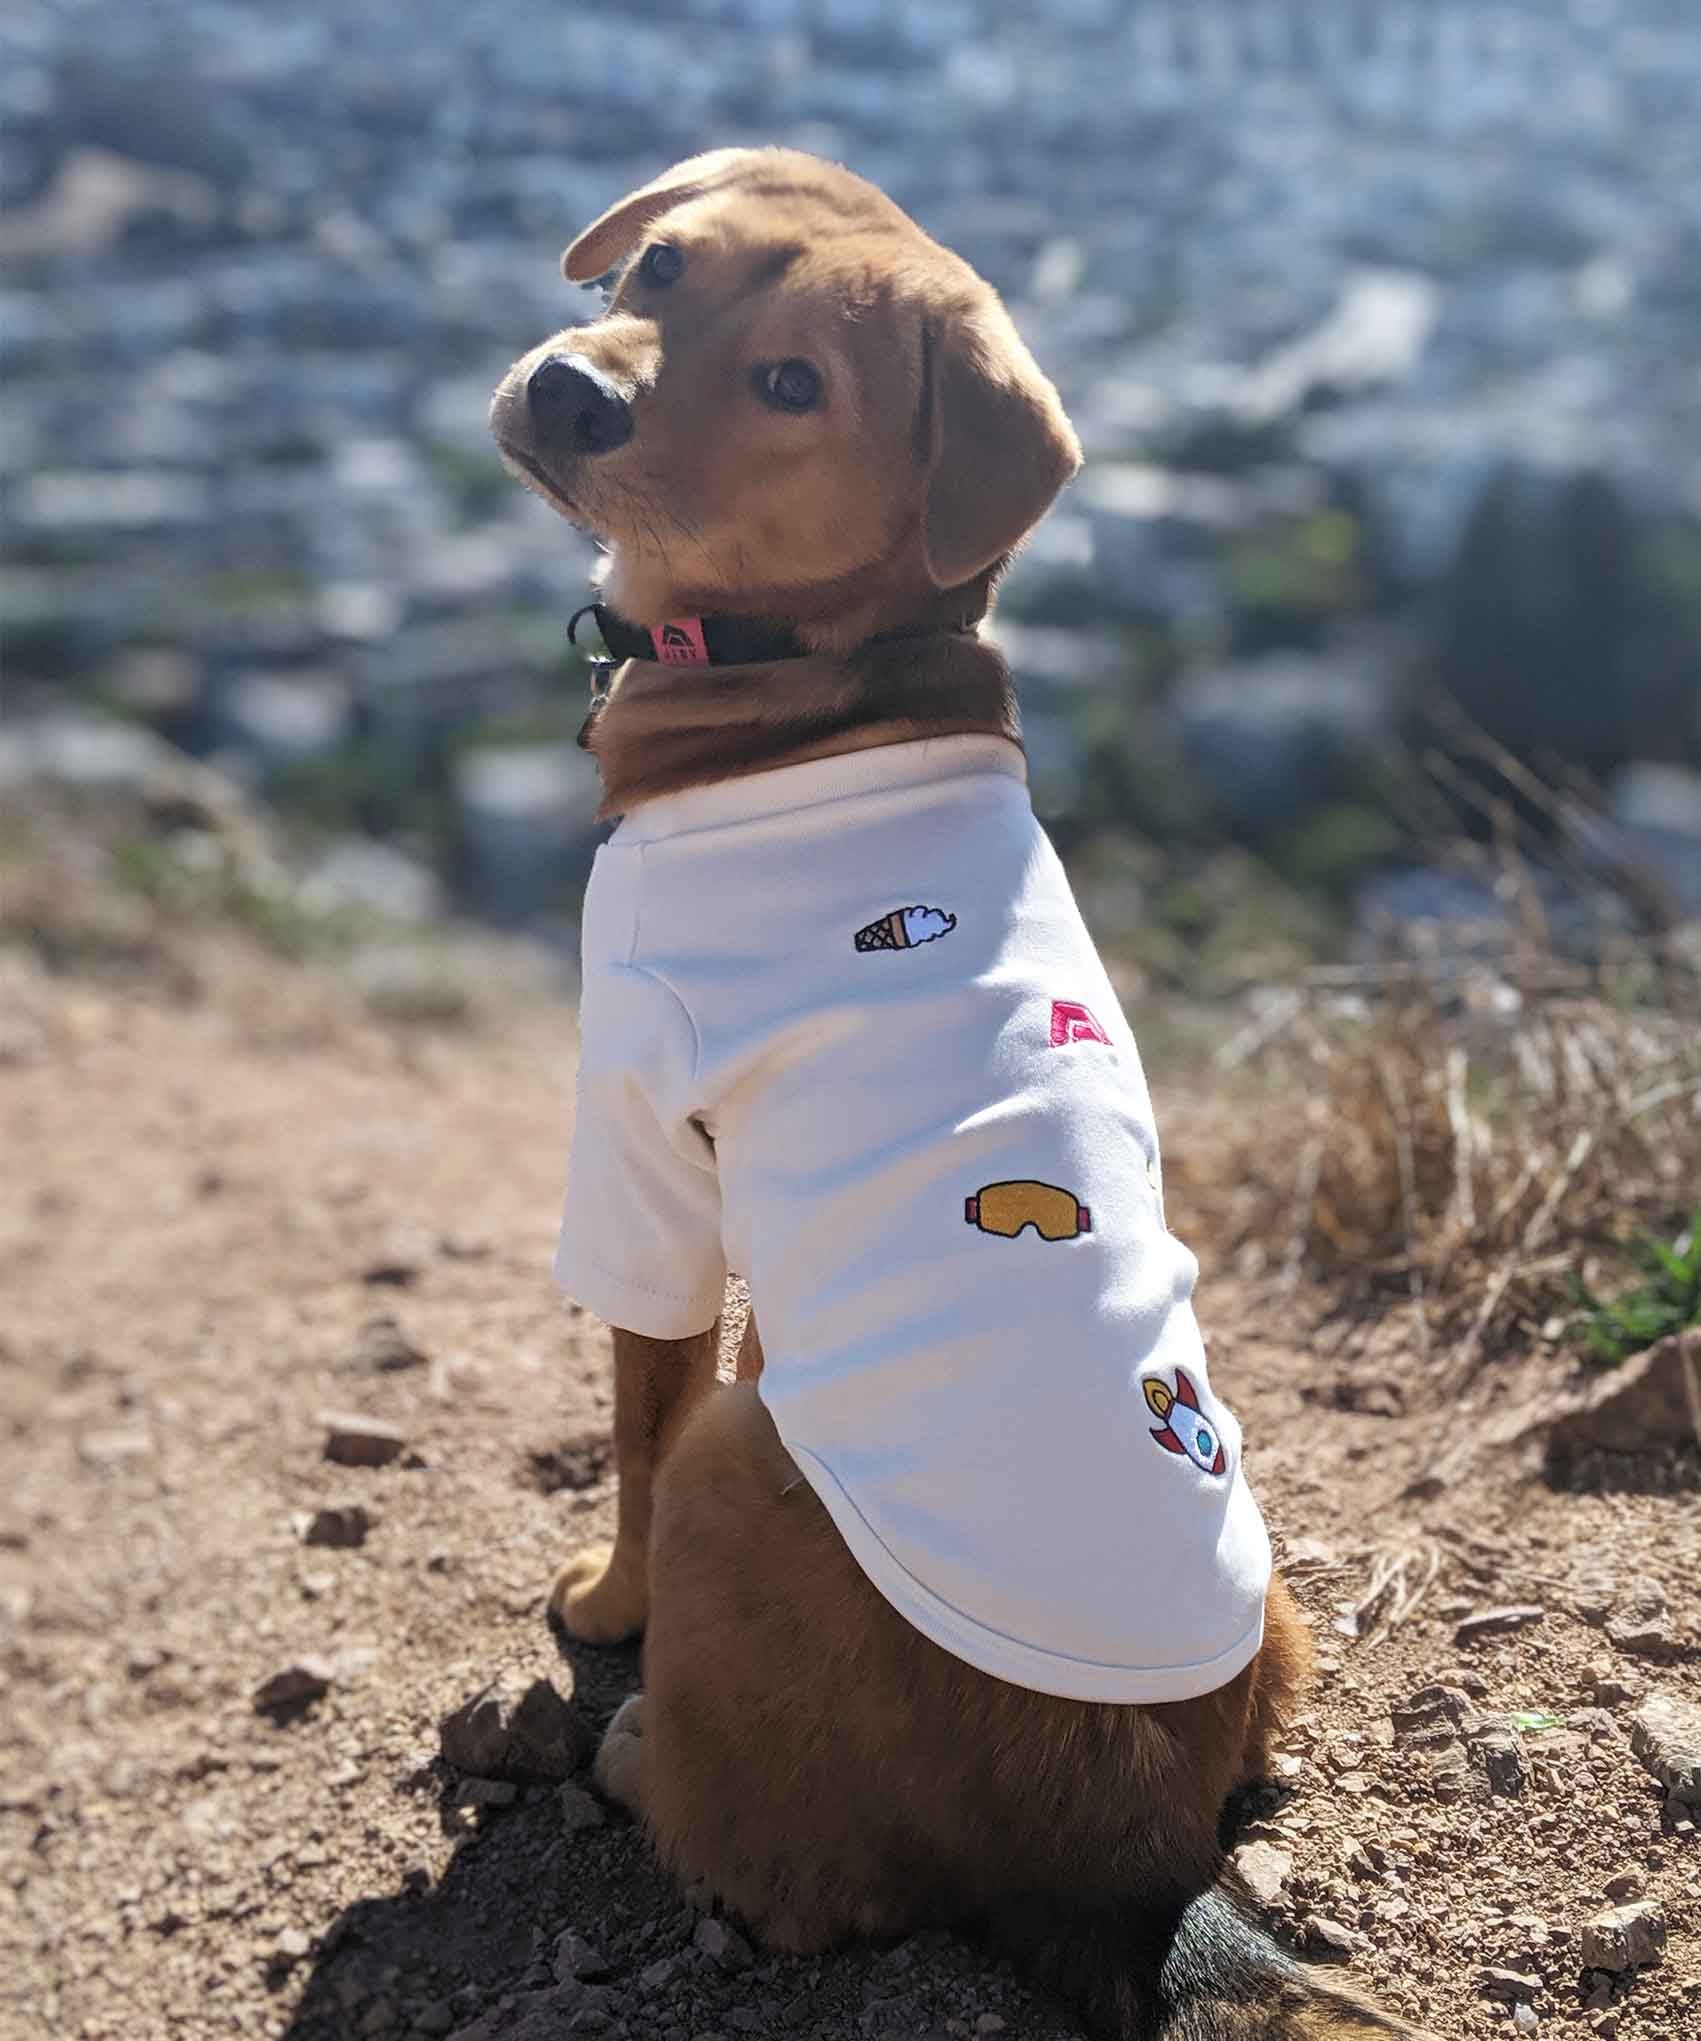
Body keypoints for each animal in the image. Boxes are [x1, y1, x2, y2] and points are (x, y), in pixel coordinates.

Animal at [494, 147, 1437, 2040]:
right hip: (1275, 1604)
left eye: (794, 384)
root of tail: (1123, 1865)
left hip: (745, 1470)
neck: (809, 677)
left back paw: (637, 1756)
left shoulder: (640, 1130)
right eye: (657, 263)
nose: (571, 388)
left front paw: (603, 1607)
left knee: (793, 1869)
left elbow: (630, 1416)